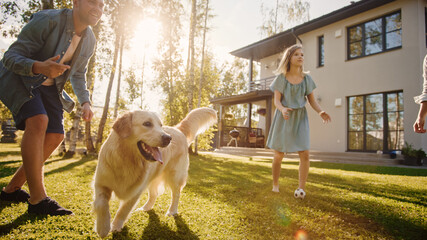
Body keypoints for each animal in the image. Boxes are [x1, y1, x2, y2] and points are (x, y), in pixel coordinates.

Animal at [93, 108, 217, 237]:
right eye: (147, 124)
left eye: (161, 125)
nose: (168, 138)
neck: (126, 160)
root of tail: (177, 129)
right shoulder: (100, 183)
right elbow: (101, 204)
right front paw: (102, 227)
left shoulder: (136, 191)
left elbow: (123, 210)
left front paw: (115, 226)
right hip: (153, 178)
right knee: (154, 194)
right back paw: (145, 208)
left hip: (174, 176)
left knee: (176, 194)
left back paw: (172, 211)